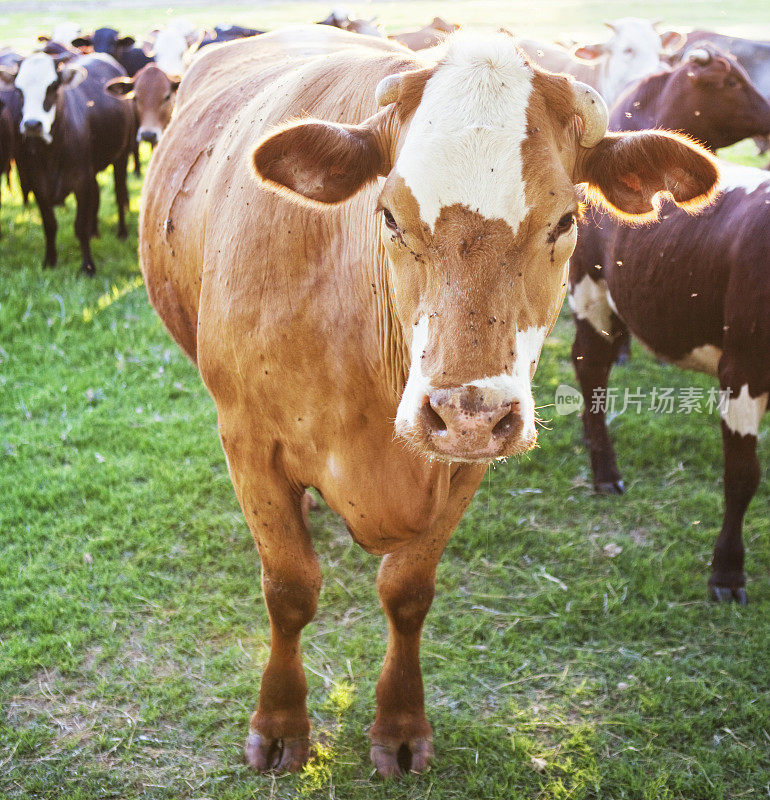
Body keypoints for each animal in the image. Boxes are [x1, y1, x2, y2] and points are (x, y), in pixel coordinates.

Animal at [0, 53, 135, 274]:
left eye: (53, 86)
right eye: (19, 90)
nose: (32, 124)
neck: (51, 153)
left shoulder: (81, 182)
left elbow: (80, 225)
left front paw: (87, 266)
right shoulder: (38, 184)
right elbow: (49, 224)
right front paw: (50, 261)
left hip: (121, 156)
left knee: (120, 191)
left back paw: (122, 232)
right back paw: (95, 231)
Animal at [136, 23, 712, 776]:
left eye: (565, 220)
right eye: (388, 214)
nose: (467, 411)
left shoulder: (467, 463)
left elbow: (407, 593)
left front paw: (401, 726)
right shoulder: (247, 439)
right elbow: (289, 588)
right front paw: (280, 722)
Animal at [564, 47, 768, 604]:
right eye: (731, 82)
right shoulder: (743, 369)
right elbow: (742, 475)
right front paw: (727, 571)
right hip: (591, 292)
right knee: (591, 368)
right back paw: (604, 471)